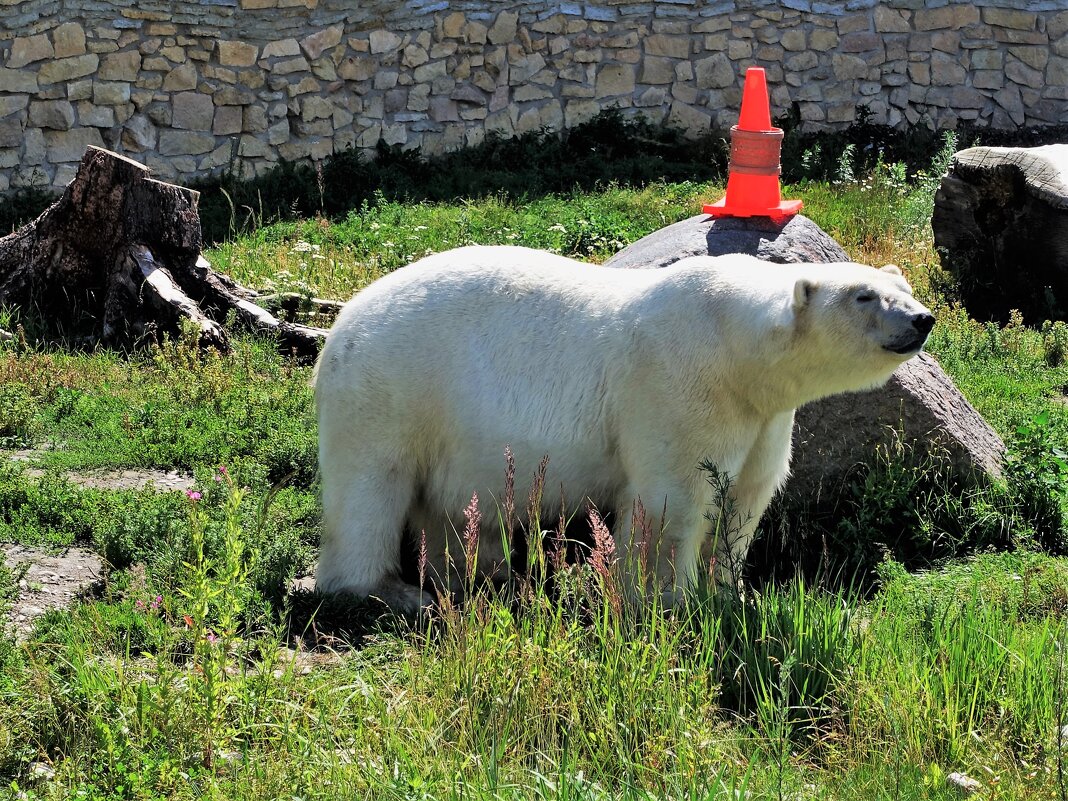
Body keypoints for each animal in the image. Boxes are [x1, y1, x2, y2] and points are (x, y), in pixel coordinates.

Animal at [311, 247, 931, 610]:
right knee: (370, 490)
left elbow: (748, 498)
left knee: (445, 507)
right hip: (390, 391)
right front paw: (669, 600)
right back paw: (393, 591)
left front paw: (730, 593)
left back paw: (485, 575)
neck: (734, 346)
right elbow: (672, 504)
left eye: (901, 288)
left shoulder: (764, 416)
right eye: (864, 296)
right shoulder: (681, 387)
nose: (922, 319)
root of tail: (338, 328)